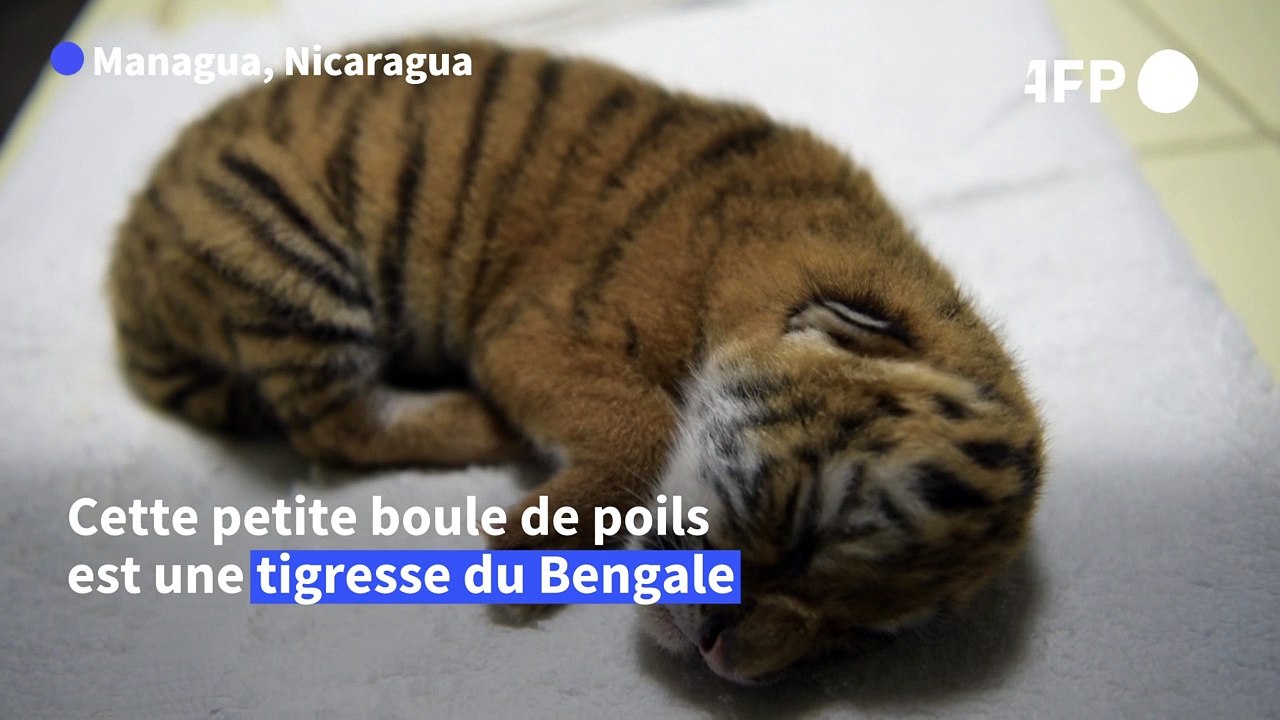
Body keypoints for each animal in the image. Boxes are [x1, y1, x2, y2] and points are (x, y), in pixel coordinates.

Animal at [107, 37, 1045, 684]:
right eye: (807, 521)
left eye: (857, 635)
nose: (725, 656)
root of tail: (125, 273)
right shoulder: (533, 332)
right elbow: (640, 419)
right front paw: (521, 554)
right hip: (284, 245)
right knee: (334, 426)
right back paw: (481, 423)